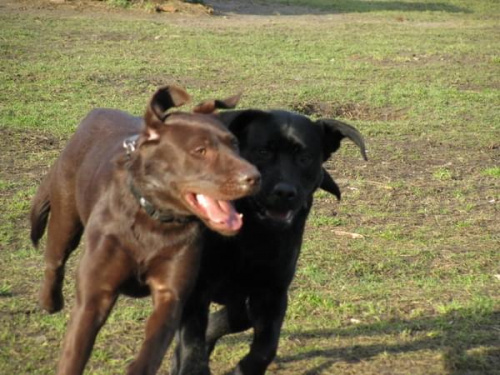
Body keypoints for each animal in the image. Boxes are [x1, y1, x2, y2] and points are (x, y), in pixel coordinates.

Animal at [30, 86, 262, 374]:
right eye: (200, 150)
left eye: (235, 144)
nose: (254, 177)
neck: (154, 219)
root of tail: (95, 113)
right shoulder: (96, 294)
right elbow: (74, 353)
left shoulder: (170, 292)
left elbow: (153, 347)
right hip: (66, 216)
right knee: (55, 259)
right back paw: (49, 302)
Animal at [172, 110, 368, 374]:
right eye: (263, 152)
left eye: (304, 157)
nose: (284, 192)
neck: (253, 235)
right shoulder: (196, 291)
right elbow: (191, 344)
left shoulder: (273, 291)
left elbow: (265, 348)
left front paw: (242, 369)